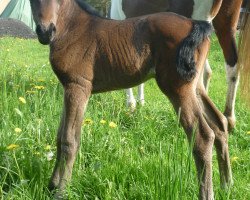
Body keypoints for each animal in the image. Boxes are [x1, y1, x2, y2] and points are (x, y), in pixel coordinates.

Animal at [29, 0, 232, 199]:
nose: (45, 31)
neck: (73, 27)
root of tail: (196, 24)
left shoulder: (78, 86)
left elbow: (69, 140)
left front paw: (60, 192)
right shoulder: (68, 88)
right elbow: (59, 136)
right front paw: (51, 185)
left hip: (178, 89)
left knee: (203, 137)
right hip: (195, 87)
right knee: (219, 123)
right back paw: (226, 184)